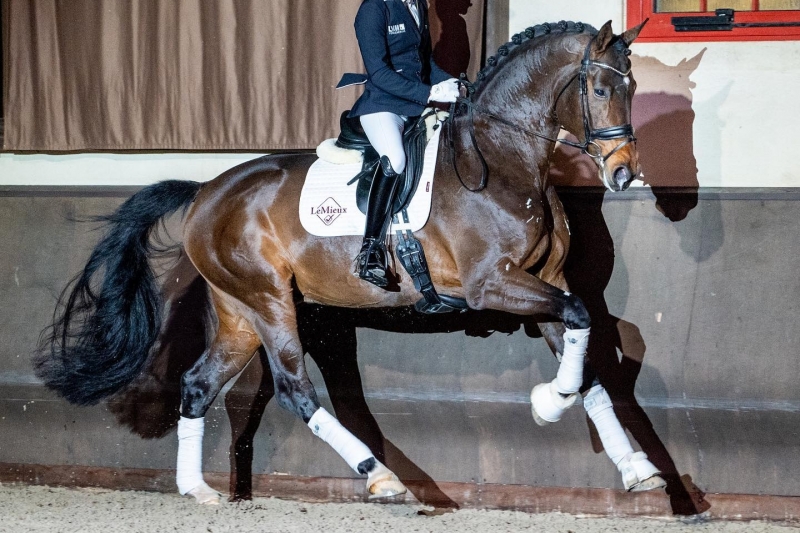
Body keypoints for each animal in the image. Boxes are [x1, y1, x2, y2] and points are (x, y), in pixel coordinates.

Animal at [37, 19, 664, 502]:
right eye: (602, 90)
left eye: (633, 86)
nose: (623, 173)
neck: (505, 158)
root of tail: (205, 193)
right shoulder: (491, 284)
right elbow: (581, 317)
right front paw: (549, 404)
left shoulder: (541, 280)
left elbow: (587, 355)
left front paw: (636, 468)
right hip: (269, 300)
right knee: (295, 390)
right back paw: (382, 478)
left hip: (240, 311)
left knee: (197, 384)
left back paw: (197, 490)